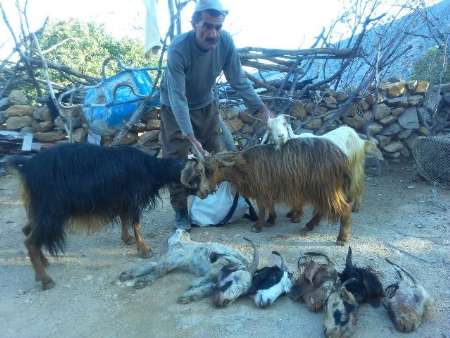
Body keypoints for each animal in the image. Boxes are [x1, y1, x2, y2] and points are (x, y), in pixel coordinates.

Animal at [7, 144, 192, 290]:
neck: (149, 167)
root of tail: (26, 167)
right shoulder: (132, 198)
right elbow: (136, 223)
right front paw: (144, 249)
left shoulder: (122, 199)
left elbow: (124, 218)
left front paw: (127, 238)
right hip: (52, 212)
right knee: (31, 241)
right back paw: (45, 279)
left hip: (41, 211)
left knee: (27, 230)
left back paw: (43, 263)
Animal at [181, 138, 354, 246]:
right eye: (201, 171)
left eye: (210, 170)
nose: (201, 193)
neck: (245, 166)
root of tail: (342, 158)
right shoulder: (268, 189)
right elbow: (269, 206)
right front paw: (271, 220)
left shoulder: (262, 189)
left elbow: (262, 207)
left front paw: (258, 226)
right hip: (320, 190)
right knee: (323, 209)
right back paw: (309, 226)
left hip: (327, 189)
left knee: (344, 209)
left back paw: (341, 238)